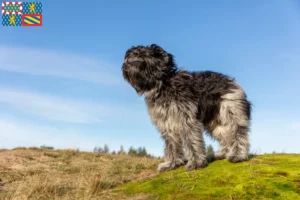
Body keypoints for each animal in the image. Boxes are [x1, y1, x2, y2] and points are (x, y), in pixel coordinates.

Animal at [122, 44, 251, 172]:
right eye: (128, 58)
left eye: (140, 57)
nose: (125, 66)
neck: (163, 85)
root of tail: (231, 82)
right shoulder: (166, 121)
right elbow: (171, 144)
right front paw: (172, 164)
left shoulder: (187, 119)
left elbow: (191, 141)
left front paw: (196, 163)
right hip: (216, 123)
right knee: (225, 136)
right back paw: (222, 154)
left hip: (230, 111)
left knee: (236, 133)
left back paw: (238, 155)